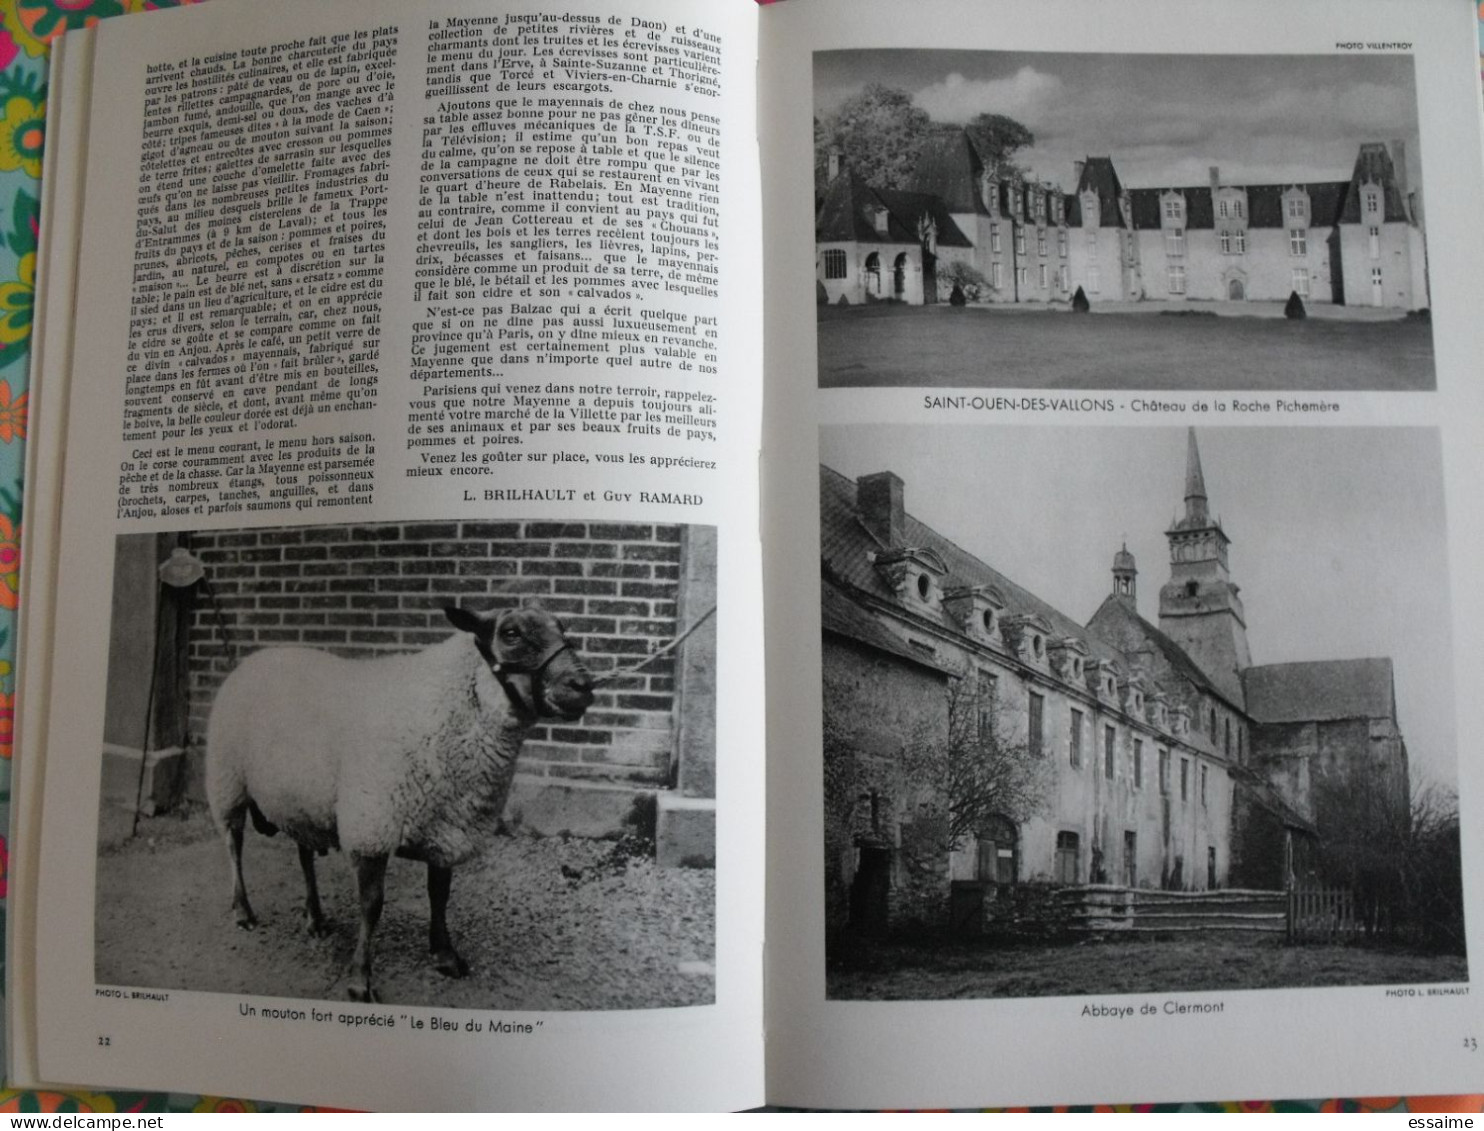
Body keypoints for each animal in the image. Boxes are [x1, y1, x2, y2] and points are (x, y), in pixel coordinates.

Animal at [204, 602, 596, 997]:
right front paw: (360, 980)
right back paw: (243, 911)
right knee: (233, 845)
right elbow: (372, 905)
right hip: (228, 781)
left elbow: (439, 895)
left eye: (563, 628)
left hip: (301, 799)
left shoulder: (448, 828)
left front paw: (445, 955)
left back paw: (315, 917)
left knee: (303, 856)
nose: (583, 686)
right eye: (511, 633)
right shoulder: (372, 825)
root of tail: (257, 656)